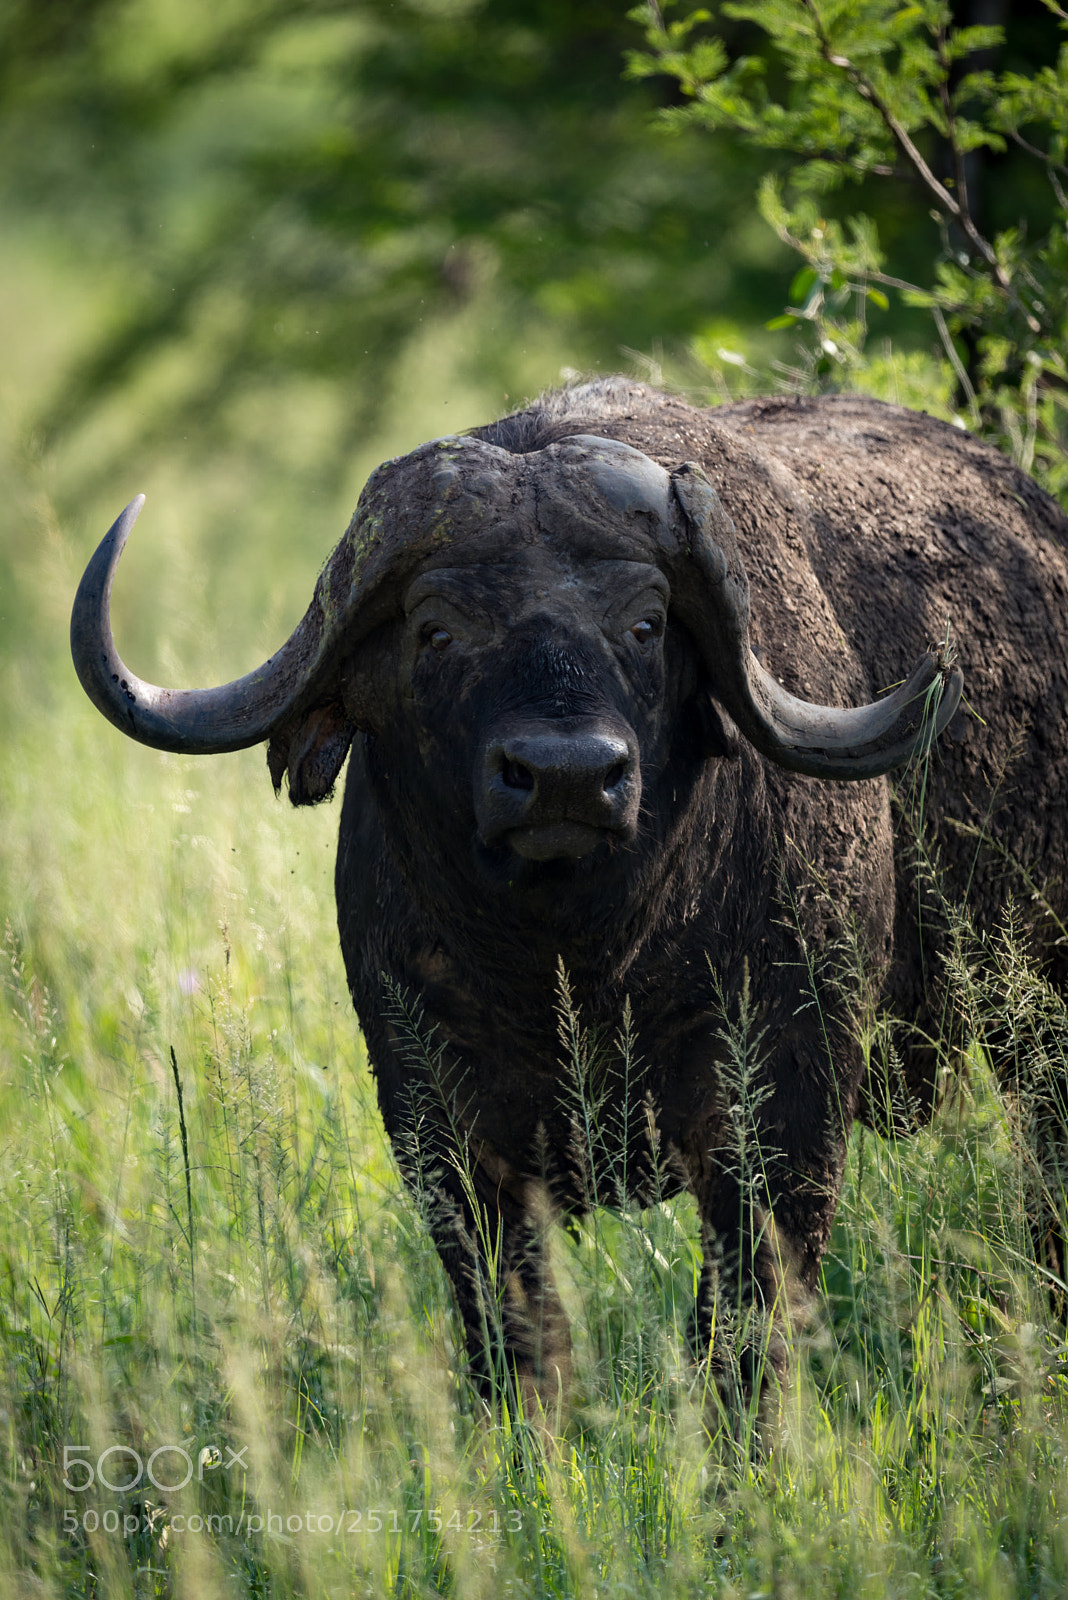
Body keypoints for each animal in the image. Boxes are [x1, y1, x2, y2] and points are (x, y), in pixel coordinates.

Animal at [71, 379, 1068, 1420]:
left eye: (645, 624)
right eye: (436, 630)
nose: (565, 778)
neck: (581, 965)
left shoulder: (784, 1119)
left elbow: (742, 1332)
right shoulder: (442, 1131)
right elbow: (518, 1335)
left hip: (1035, 1018)